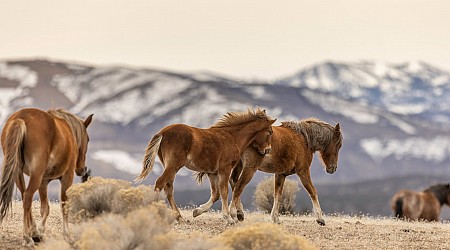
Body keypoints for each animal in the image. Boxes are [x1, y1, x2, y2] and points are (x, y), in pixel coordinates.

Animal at [0, 107, 92, 246]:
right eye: (88, 139)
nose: (83, 169)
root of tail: (20, 119)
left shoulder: (44, 181)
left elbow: (45, 208)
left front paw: (39, 232)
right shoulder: (67, 177)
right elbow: (64, 205)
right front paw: (67, 236)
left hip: (17, 173)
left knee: (24, 196)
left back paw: (31, 233)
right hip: (36, 175)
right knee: (27, 196)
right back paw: (27, 238)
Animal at [134, 108, 274, 224]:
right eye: (270, 132)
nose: (268, 150)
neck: (232, 137)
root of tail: (162, 132)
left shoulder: (212, 173)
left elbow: (216, 193)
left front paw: (197, 211)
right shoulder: (225, 169)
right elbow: (224, 191)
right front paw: (228, 218)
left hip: (170, 166)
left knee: (168, 187)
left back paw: (179, 217)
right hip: (174, 165)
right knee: (160, 183)